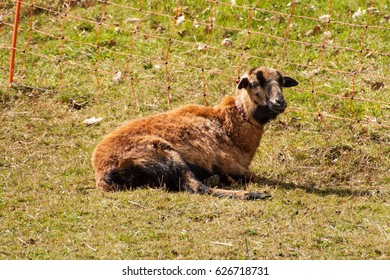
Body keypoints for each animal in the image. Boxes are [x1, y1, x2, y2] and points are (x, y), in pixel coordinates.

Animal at [92, 66, 298, 200]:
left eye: (281, 82)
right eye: (254, 83)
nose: (280, 102)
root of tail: (103, 174)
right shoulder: (225, 161)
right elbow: (254, 176)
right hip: (164, 154)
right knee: (196, 187)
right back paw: (254, 194)